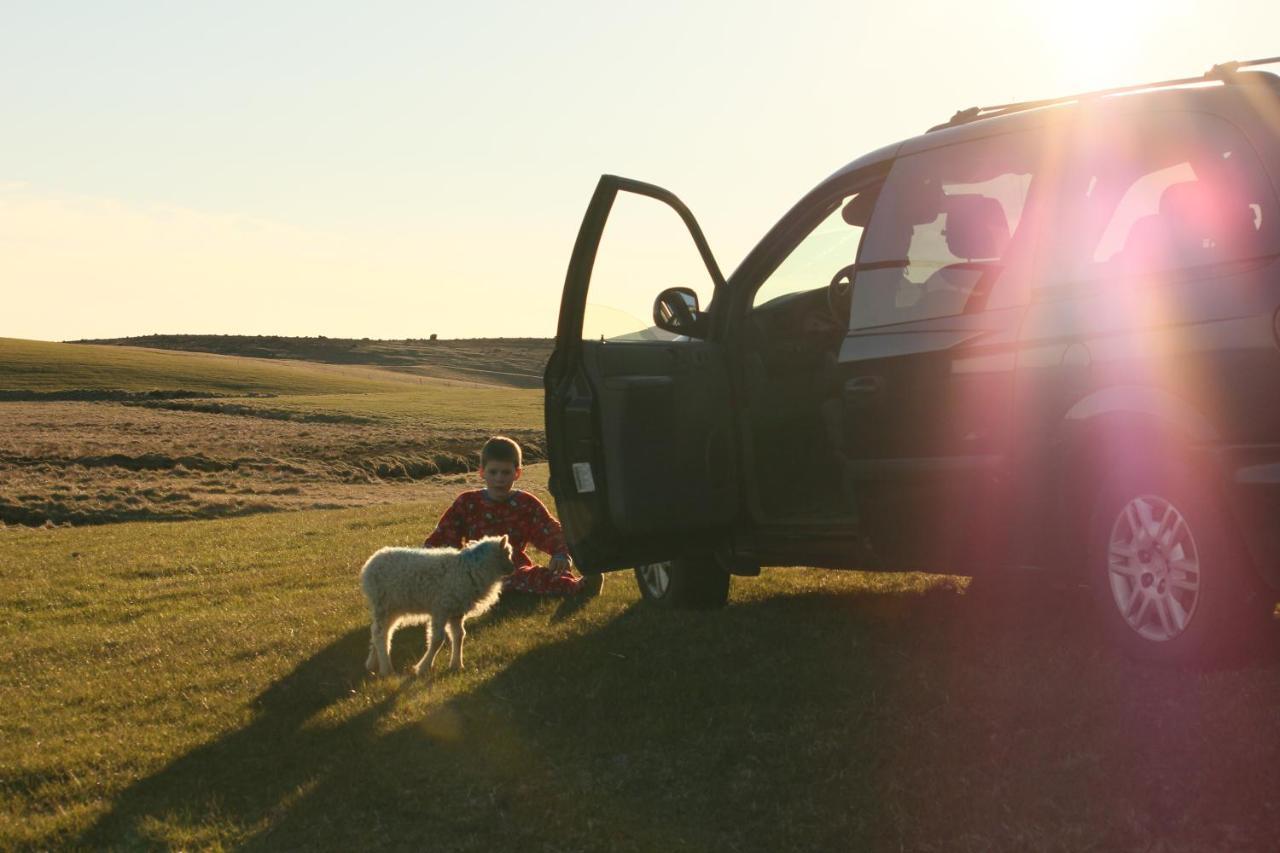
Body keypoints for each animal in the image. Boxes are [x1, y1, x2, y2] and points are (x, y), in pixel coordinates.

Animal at [355, 532, 514, 676]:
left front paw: (457, 665)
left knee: (379, 631)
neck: (473, 568)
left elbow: (459, 635)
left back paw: (372, 663)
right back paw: (386, 669)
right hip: (383, 605)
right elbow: (438, 639)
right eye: (508, 553)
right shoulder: (441, 609)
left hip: (392, 608)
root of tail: (370, 563)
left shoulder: (456, 611)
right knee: (380, 634)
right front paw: (423, 667)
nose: (513, 569)